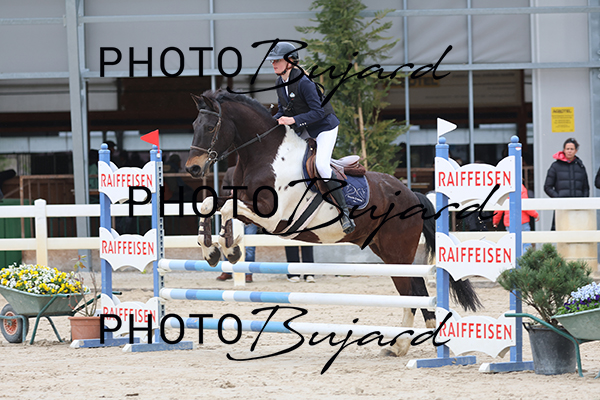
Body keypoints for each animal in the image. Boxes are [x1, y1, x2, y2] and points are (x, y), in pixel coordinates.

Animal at [185, 89, 481, 356]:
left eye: (210, 127)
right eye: (194, 126)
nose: (193, 168)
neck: (264, 155)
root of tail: (412, 194)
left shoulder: (274, 216)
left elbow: (227, 209)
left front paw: (230, 249)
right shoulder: (244, 202)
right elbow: (210, 204)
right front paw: (212, 251)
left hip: (398, 252)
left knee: (413, 289)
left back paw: (418, 344)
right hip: (388, 253)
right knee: (411, 290)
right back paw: (402, 345)